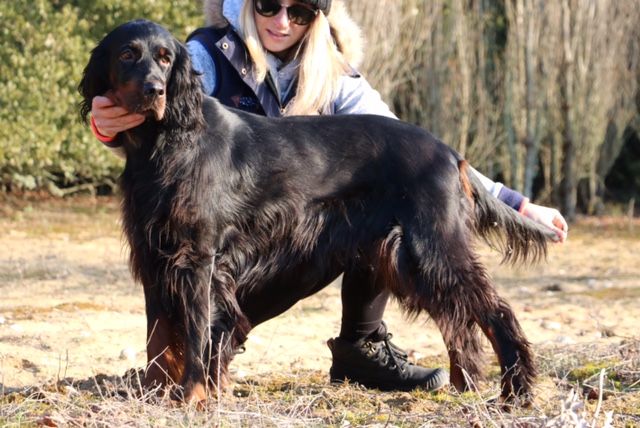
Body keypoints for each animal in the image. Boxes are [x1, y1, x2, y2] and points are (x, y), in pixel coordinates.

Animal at [79, 20, 560, 406]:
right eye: (127, 54)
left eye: (165, 58)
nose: (154, 91)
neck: (166, 142)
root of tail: (450, 152)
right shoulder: (155, 254)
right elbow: (158, 337)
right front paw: (155, 392)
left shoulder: (198, 258)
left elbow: (197, 334)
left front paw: (193, 396)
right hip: (405, 254)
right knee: (458, 320)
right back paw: (466, 385)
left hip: (431, 247)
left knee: (495, 313)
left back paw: (516, 392)